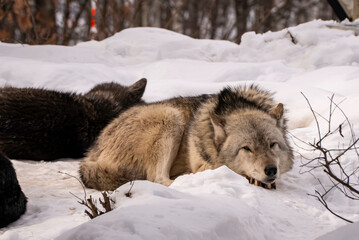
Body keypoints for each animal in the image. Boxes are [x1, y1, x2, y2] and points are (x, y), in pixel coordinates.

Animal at [80, 85, 294, 190]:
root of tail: (91, 153)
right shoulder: (203, 164)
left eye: (272, 145)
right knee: (158, 178)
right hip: (170, 116)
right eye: (247, 148)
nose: (271, 170)